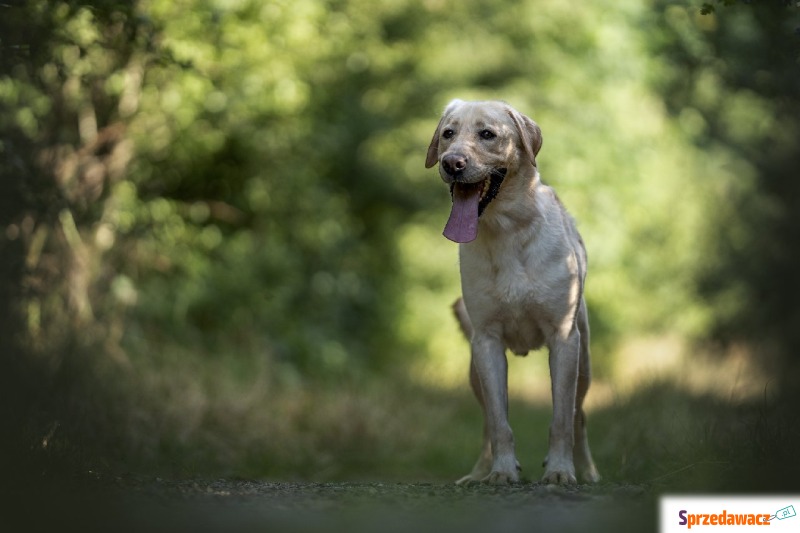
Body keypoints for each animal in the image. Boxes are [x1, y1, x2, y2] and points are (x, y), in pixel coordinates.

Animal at [424, 97, 600, 484]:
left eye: (487, 134)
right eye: (448, 134)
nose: (451, 163)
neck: (505, 230)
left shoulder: (564, 340)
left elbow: (561, 420)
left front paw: (561, 470)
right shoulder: (487, 342)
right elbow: (499, 422)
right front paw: (502, 471)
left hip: (584, 363)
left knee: (579, 417)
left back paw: (587, 470)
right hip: (474, 371)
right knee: (487, 425)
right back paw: (477, 474)